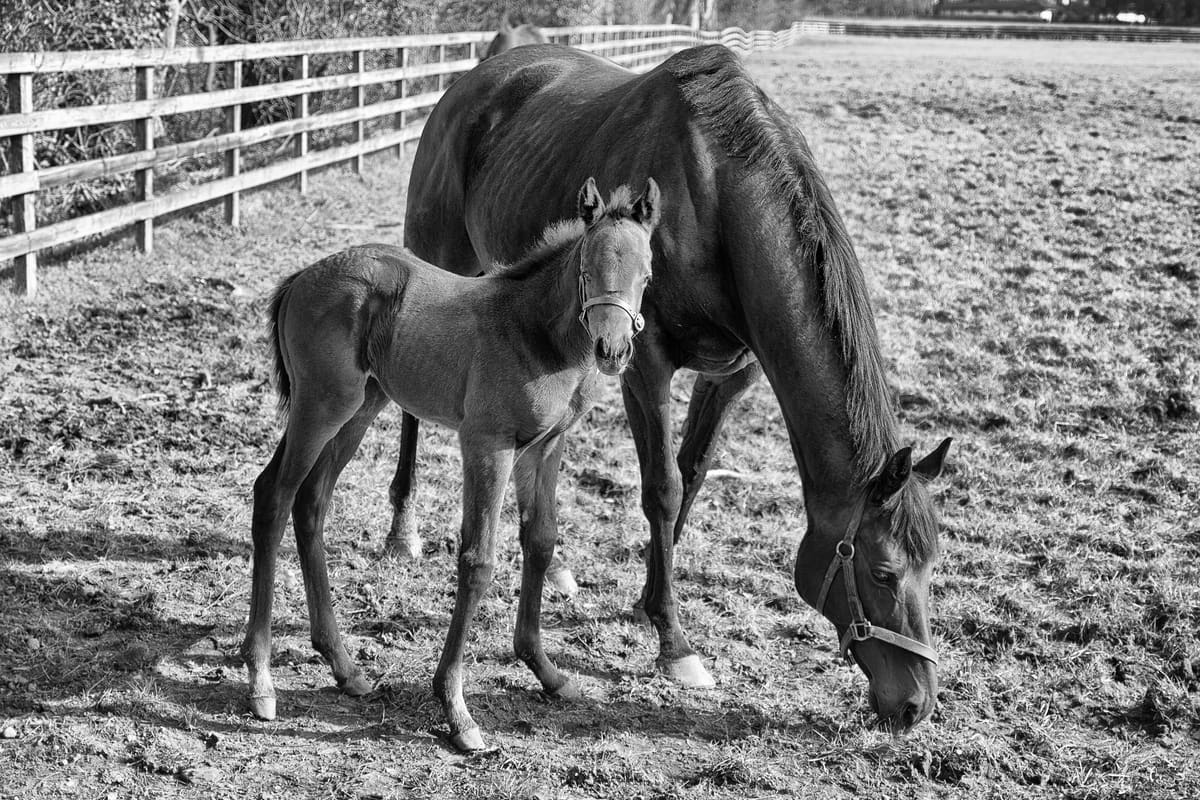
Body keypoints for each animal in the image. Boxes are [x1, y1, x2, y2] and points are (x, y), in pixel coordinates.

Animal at [240, 177, 661, 751]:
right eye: (586, 269)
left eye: (646, 275)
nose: (612, 349)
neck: (532, 332)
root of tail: (302, 277)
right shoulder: (487, 444)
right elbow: (478, 560)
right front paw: (457, 709)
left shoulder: (546, 446)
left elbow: (541, 541)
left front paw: (547, 673)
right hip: (321, 405)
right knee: (275, 496)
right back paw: (261, 680)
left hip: (360, 407)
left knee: (311, 503)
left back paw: (344, 667)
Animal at [392, 42, 954, 737]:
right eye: (882, 571)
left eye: (932, 569)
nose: (916, 704)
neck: (717, 198)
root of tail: (475, 78)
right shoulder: (647, 364)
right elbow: (662, 487)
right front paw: (674, 641)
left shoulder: (732, 374)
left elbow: (694, 472)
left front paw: (646, 603)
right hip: (439, 259)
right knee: (409, 409)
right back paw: (402, 529)